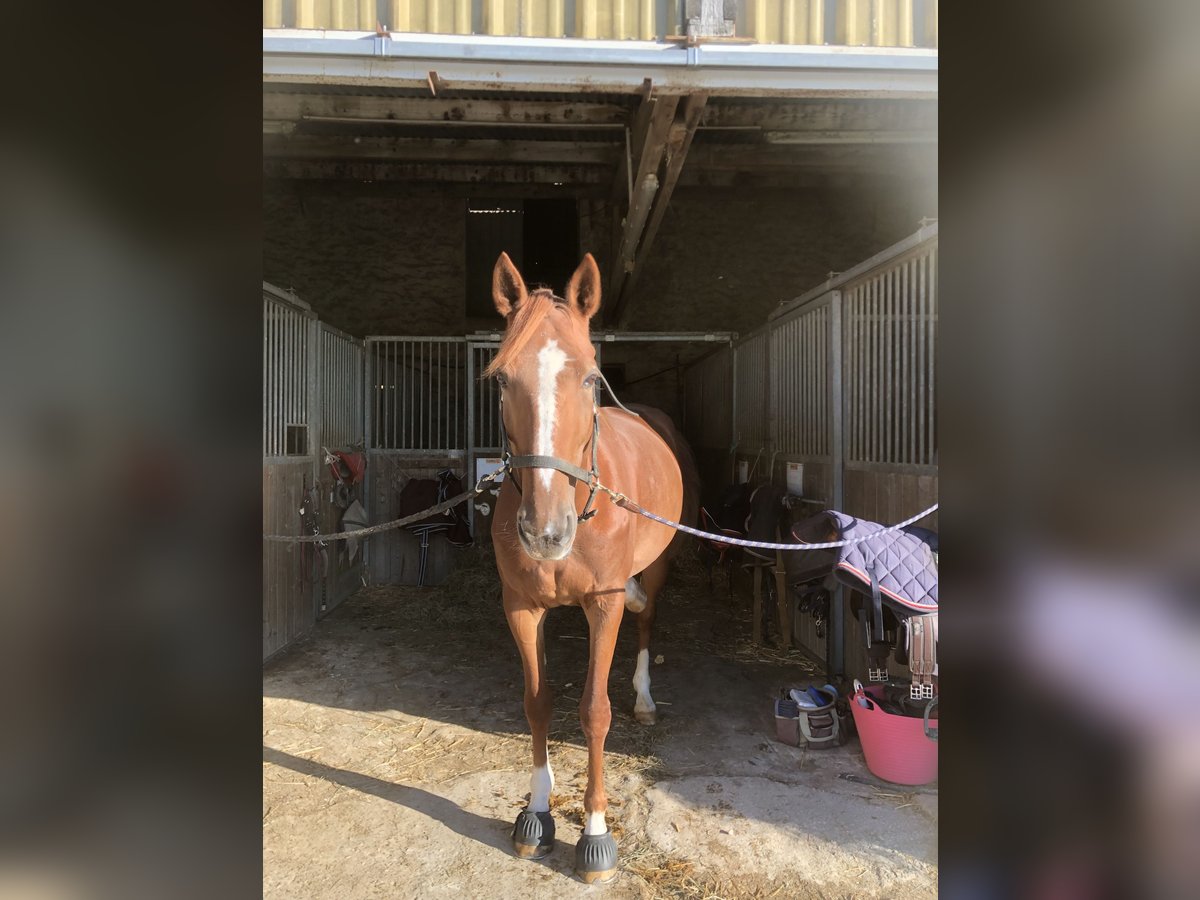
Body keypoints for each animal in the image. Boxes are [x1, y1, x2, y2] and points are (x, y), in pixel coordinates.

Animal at [484, 250, 696, 883]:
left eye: (587, 377)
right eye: (502, 378)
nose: (545, 531)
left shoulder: (602, 604)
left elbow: (595, 712)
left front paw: (596, 831)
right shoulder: (521, 607)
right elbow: (538, 704)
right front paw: (537, 814)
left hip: (659, 567)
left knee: (647, 620)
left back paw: (645, 699)